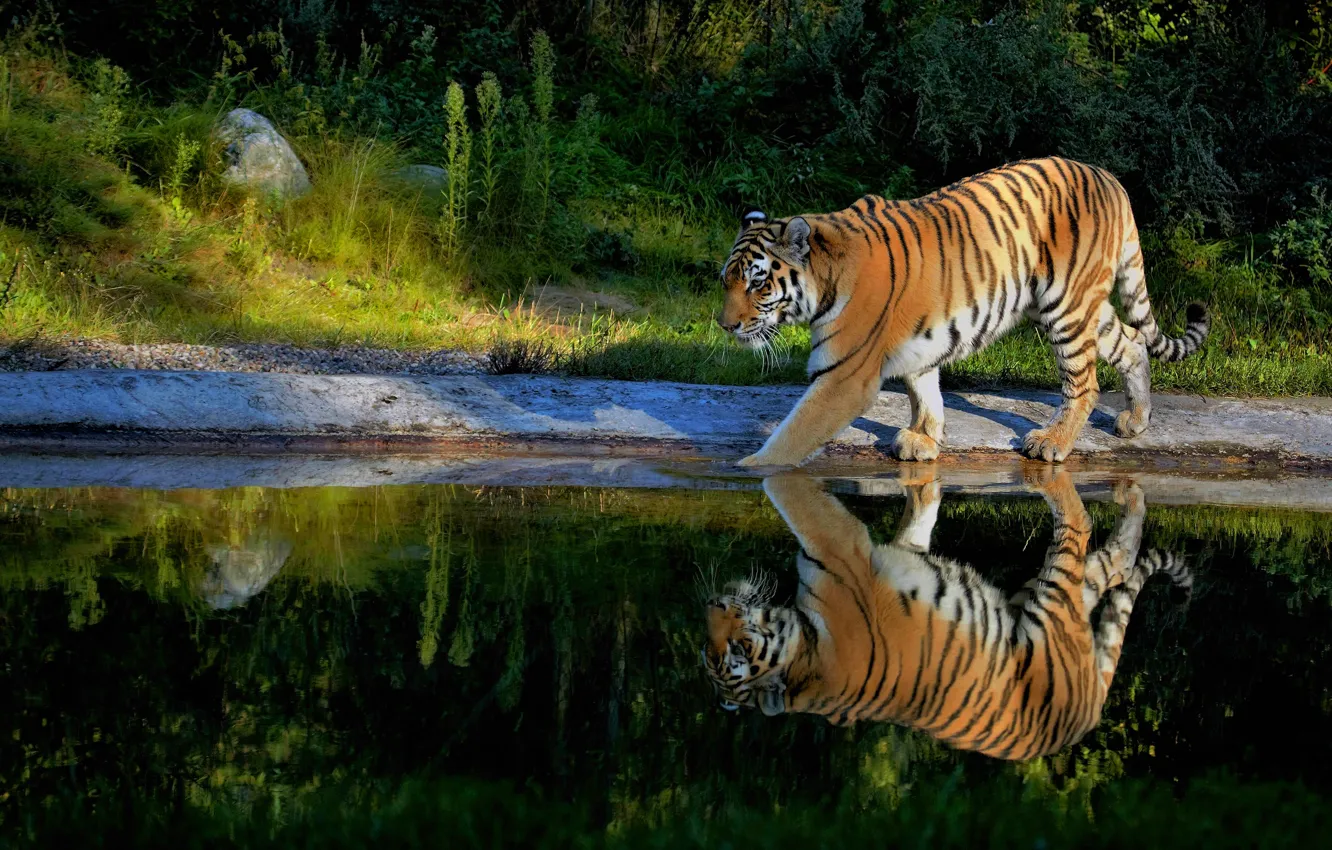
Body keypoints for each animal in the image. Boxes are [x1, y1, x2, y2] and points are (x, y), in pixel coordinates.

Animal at [701, 467, 1191, 760]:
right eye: (715, 649)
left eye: (737, 647)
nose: (713, 605)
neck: (805, 658)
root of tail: (1082, 725)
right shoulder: (846, 553)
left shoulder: (841, 551)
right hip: (1056, 605)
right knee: (1104, 552)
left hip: (1051, 600)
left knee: (1094, 537)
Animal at [718, 157, 1210, 465]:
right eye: (726, 280)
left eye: (758, 282)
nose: (725, 325)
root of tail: (1111, 179)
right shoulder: (918, 343)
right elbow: (924, 390)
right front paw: (924, 438)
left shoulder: (844, 376)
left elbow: (794, 433)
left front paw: (751, 468)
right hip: (1080, 306)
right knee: (1133, 342)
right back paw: (1136, 420)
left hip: (1066, 308)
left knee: (1084, 383)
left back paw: (1051, 443)